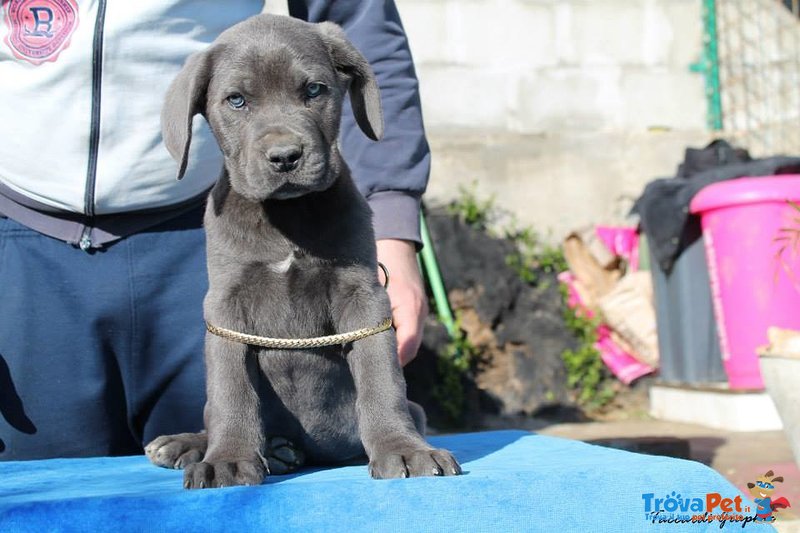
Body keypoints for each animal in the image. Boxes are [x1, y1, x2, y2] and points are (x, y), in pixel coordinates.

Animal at [142, 14, 456, 488]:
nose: (285, 156)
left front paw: (402, 450)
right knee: (213, 413)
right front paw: (227, 460)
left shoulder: (364, 296)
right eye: (236, 100)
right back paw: (196, 444)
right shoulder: (226, 306)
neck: (287, 218)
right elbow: (232, 389)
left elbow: (380, 376)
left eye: (313, 90)